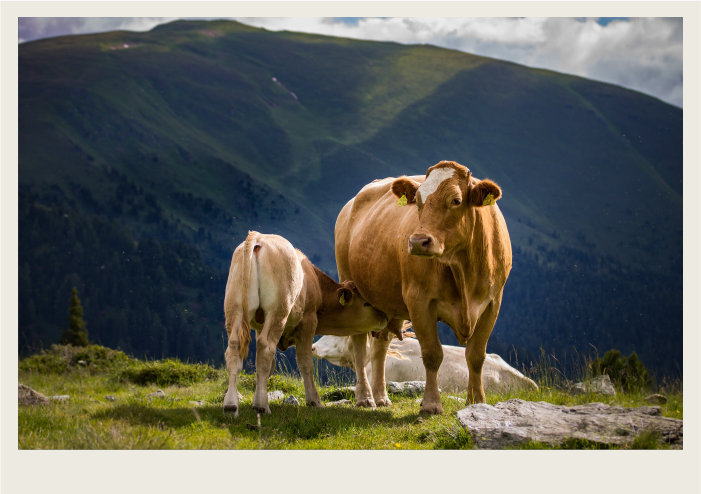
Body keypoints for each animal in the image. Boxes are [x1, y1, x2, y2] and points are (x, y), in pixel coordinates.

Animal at [223, 231, 388, 417]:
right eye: (367, 303)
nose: (385, 317)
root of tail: (259, 238)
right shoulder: (309, 321)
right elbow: (305, 362)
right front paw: (314, 400)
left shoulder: (259, 326)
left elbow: (268, 366)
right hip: (277, 310)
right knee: (265, 347)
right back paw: (261, 406)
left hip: (234, 308)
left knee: (234, 347)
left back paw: (231, 404)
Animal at [335, 160, 512, 413]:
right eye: (418, 201)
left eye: (456, 200)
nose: (418, 241)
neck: (464, 270)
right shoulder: (419, 301)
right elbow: (431, 354)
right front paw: (431, 404)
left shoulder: (492, 303)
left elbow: (476, 355)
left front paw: (477, 401)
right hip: (351, 286)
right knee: (360, 346)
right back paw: (365, 397)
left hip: (385, 303)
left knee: (380, 346)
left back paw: (381, 396)